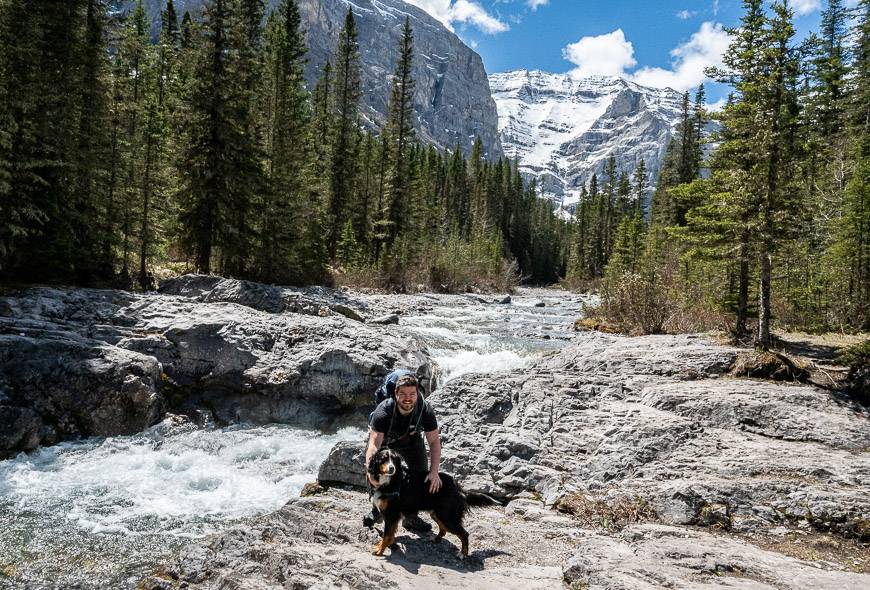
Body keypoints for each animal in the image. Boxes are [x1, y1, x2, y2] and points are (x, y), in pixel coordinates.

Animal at [366, 448, 500, 560]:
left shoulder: (392, 514)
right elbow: (389, 534)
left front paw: (380, 550)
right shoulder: (390, 516)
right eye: (384, 459)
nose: (392, 468)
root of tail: (457, 487)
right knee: (444, 529)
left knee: (464, 533)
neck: (389, 481)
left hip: (447, 516)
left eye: (394, 460)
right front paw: (388, 545)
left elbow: (386, 535)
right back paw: (436, 539)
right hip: (437, 513)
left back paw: (463, 554)